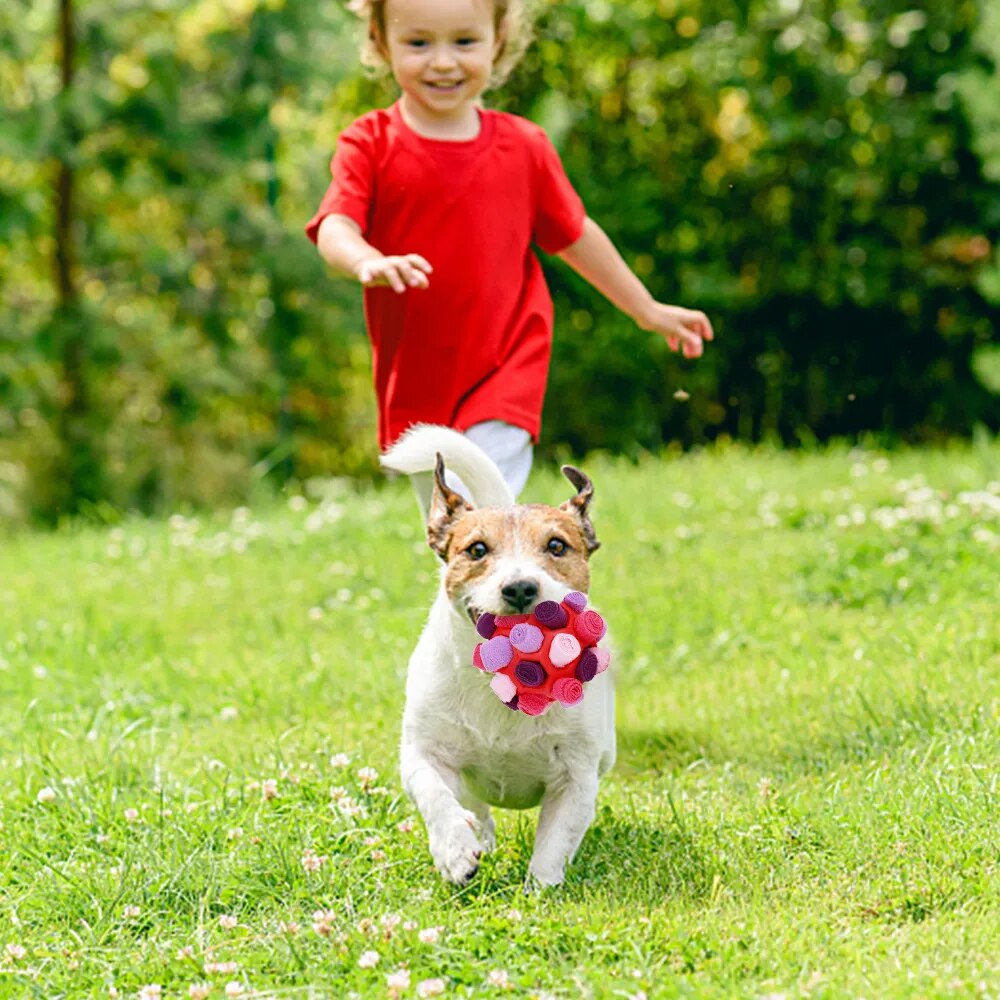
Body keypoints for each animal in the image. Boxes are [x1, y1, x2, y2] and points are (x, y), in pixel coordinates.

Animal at [382, 426, 616, 888]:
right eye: (476, 550)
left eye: (557, 545)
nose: (520, 587)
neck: (506, 676)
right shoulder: (423, 751)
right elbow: (435, 794)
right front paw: (455, 852)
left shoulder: (576, 776)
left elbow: (555, 839)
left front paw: (539, 890)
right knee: (475, 807)